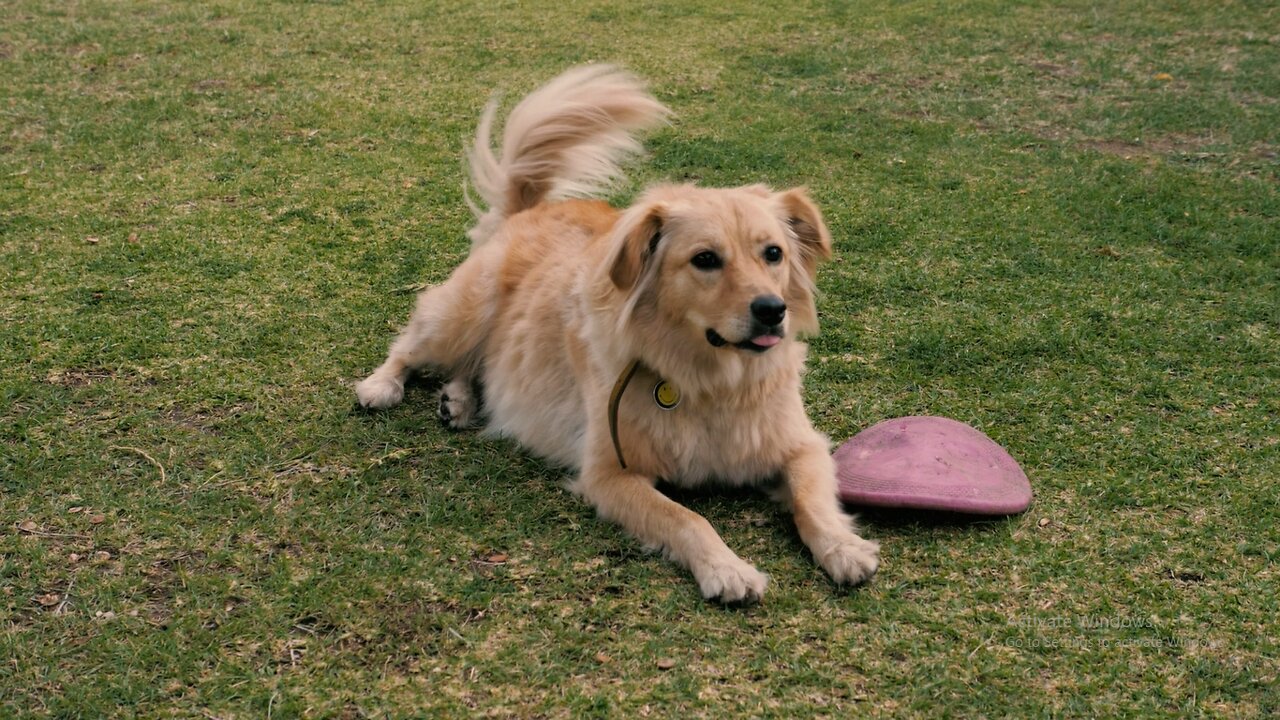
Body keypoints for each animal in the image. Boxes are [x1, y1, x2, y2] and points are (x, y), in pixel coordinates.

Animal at [358, 64, 880, 599]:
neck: (713, 380)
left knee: (479, 365)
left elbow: (811, 500)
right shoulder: (611, 475)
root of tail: (529, 210)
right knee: (411, 344)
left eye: (773, 253)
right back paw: (382, 385)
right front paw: (727, 569)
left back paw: (458, 401)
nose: (773, 310)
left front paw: (843, 547)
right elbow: (687, 519)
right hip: (461, 315)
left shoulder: (801, 445)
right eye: (705, 259)